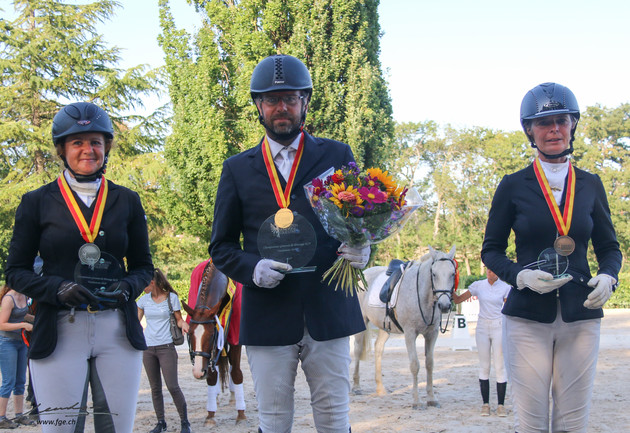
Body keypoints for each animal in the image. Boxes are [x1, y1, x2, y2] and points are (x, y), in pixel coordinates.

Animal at [183, 260, 247, 426]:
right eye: (189, 334)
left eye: (211, 335)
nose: (198, 372)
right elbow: (212, 376)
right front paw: (210, 415)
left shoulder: (233, 337)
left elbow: (236, 373)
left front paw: (241, 414)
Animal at [350, 245, 460, 406]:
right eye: (434, 274)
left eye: (453, 274)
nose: (445, 305)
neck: (422, 295)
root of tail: (363, 274)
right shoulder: (410, 333)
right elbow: (414, 365)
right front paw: (416, 402)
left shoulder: (432, 334)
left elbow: (429, 364)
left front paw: (431, 399)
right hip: (363, 323)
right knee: (357, 350)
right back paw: (356, 387)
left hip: (385, 327)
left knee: (378, 349)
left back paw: (380, 388)